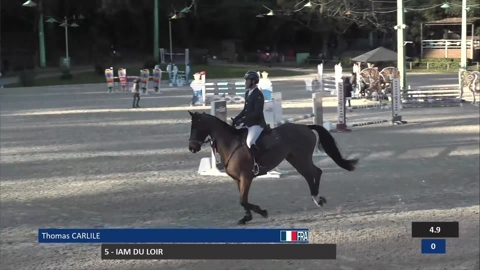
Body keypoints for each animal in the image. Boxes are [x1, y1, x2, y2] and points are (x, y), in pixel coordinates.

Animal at [187, 110, 356, 225]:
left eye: (196, 127)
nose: (192, 148)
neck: (231, 144)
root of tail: (306, 127)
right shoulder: (237, 179)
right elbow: (243, 199)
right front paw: (246, 218)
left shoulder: (246, 177)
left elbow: (243, 200)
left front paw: (262, 212)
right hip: (295, 159)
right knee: (311, 174)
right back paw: (317, 199)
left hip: (301, 158)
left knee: (315, 172)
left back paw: (317, 198)